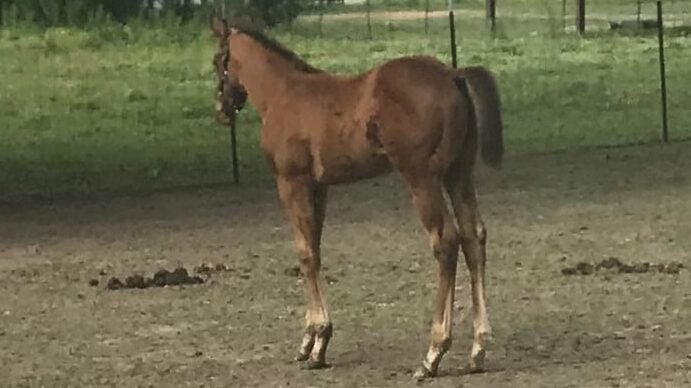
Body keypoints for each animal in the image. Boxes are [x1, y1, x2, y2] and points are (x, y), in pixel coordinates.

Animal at [209, 18, 502, 378]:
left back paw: (433, 353)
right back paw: (478, 348)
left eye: (217, 61)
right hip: (458, 174)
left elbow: (305, 253)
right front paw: (311, 342)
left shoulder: (291, 182)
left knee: (446, 241)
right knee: (474, 237)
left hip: (422, 178)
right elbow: (315, 249)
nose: (221, 109)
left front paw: (318, 339)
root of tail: (452, 74)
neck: (283, 93)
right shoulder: (319, 186)